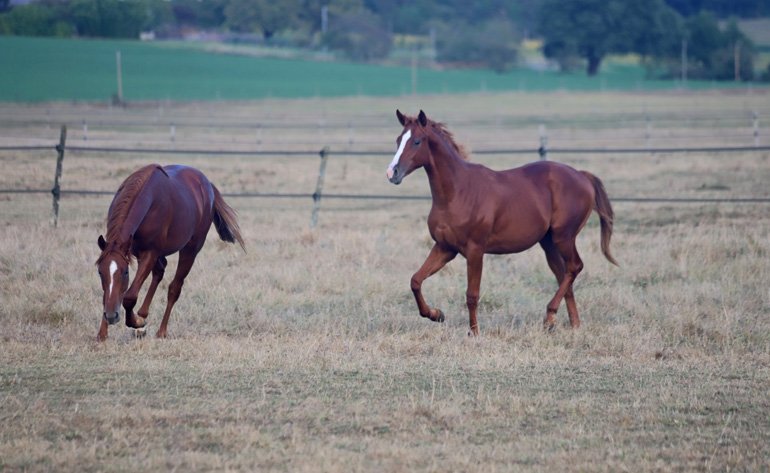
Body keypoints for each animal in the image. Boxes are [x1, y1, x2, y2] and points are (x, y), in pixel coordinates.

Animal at [95, 164, 244, 341]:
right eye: (100, 272)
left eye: (125, 272)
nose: (112, 316)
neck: (150, 198)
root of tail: (207, 185)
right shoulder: (134, 251)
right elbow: (107, 295)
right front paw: (102, 333)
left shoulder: (149, 253)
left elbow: (130, 296)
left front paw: (137, 322)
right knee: (160, 271)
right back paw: (143, 316)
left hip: (190, 250)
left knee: (174, 288)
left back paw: (160, 330)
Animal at [386, 110, 617, 335]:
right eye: (398, 140)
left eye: (417, 141)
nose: (392, 173)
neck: (457, 192)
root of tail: (582, 176)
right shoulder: (445, 248)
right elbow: (416, 280)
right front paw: (436, 314)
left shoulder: (475, 250)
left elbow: (472, 295)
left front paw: (474, 333)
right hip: (549, 243)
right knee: (564, 276)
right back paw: (571, 325)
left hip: (564, 237)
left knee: (574, 267)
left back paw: (550, 316)